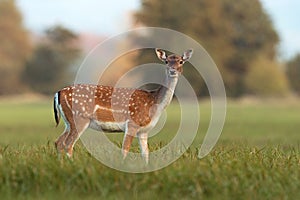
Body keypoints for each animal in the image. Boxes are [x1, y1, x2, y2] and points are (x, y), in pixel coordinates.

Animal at [53, 47, 195, 163]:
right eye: (166, 61)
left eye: (181, 61)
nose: (172, 70)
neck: (154, 103)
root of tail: (59, 93)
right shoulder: (132, 123)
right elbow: (125, 150)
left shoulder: (144, 131)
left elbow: (146, 153)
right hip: (80, 118)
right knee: (68, 144)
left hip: (68, 122)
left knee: (58, 142)